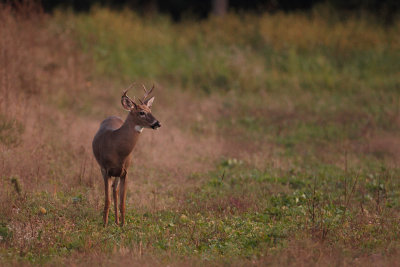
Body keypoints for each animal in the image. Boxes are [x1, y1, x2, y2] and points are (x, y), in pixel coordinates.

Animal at [92, 85, 161, 227]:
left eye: (150, 109)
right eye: (141, 112)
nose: (157, 123)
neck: (117, 148)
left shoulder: (125, 172)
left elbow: (122, 202)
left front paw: (123, 225)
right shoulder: (106, 169)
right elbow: (107, 200)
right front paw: (104, 225)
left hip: (118, 174)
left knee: (115, 191)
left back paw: (117, 221)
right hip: (104, 169)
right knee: (112, 192)